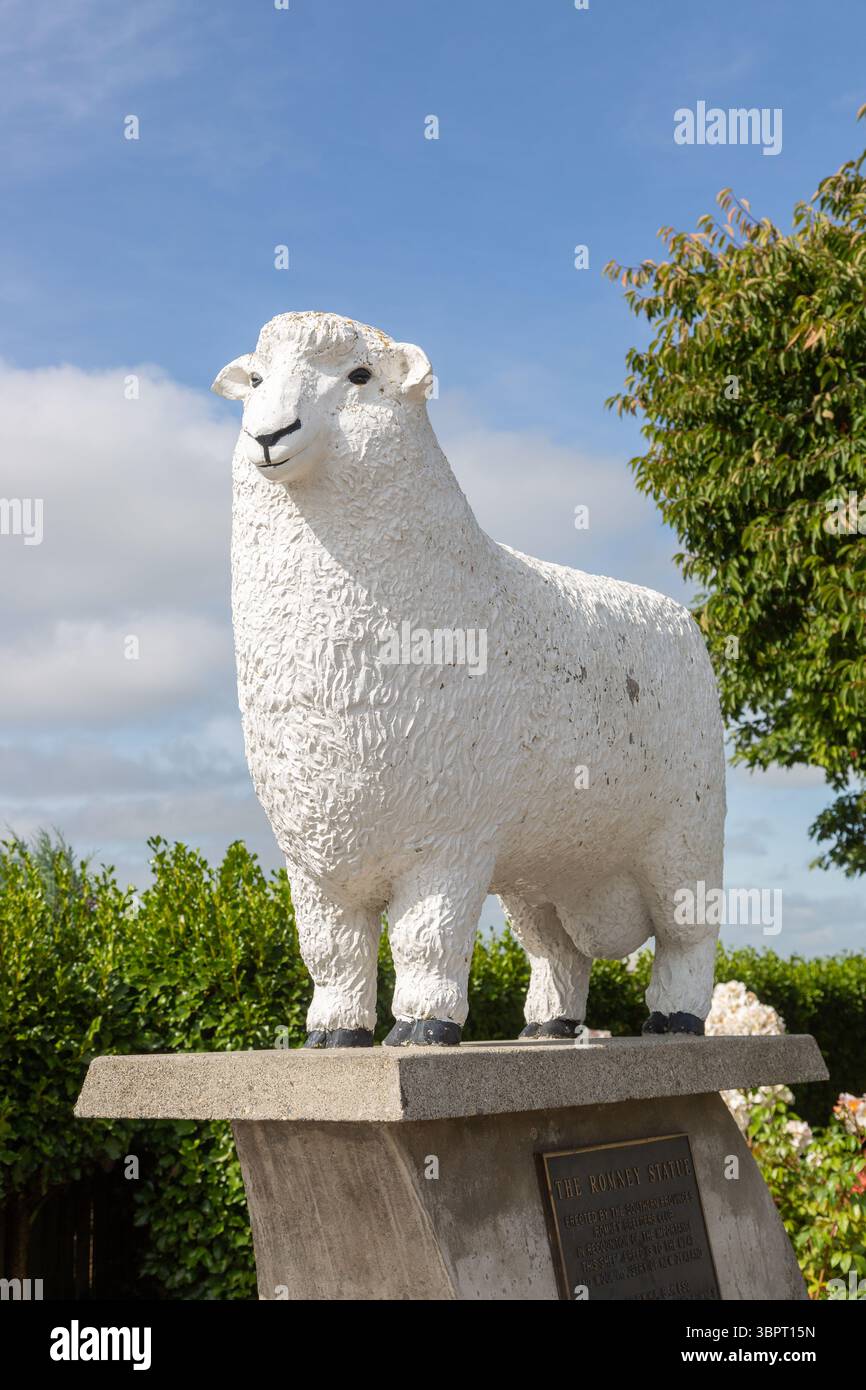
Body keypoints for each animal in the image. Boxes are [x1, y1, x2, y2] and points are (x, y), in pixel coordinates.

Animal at [212, 311, 726, 1047]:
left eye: (360, 376)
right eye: (255, 380)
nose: (269, 435)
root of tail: (675, 614)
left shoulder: (450, 841)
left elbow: (427, 938)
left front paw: (423, 1027)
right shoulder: (314, 862)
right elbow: (331, 951)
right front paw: (333, 1034)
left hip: (685, 836)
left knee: (689, 937)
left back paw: (674, 1019)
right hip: (546, 869)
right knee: (556, 950)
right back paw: (547, 1027)